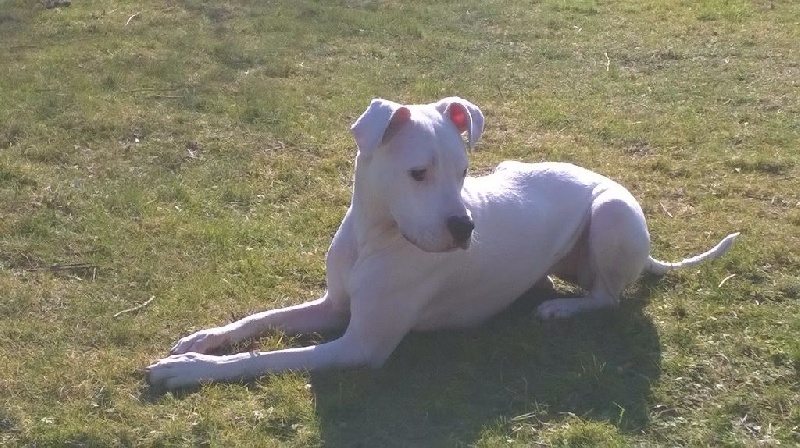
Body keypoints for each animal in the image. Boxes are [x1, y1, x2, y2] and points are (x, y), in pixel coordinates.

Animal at [146, 97, 738, 389]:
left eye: (463, 171)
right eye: (418, 173)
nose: (465, 229)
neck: (377, 236)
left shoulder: (358, 347)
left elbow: (264, 359)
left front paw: (189, 371)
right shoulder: (334, 306)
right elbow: (259, 321)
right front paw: (203, 338)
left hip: (612, 215)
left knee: (608, 298)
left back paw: (561, 309)